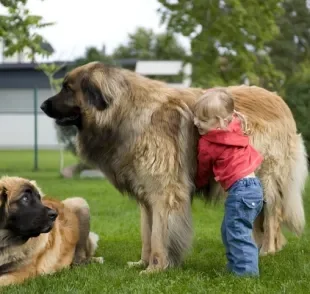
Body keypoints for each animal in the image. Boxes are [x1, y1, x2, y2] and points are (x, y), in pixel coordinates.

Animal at [40, 61, 308, 274]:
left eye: (67, 88)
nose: (42, 106)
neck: (124, 111)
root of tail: (279, 100)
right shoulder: (147, 197)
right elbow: (147, 234)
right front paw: (143, 263)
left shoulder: (164, 192)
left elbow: (159, 235)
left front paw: (156, 268)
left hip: (266, 178)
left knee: (272, 215)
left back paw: (267, 250)